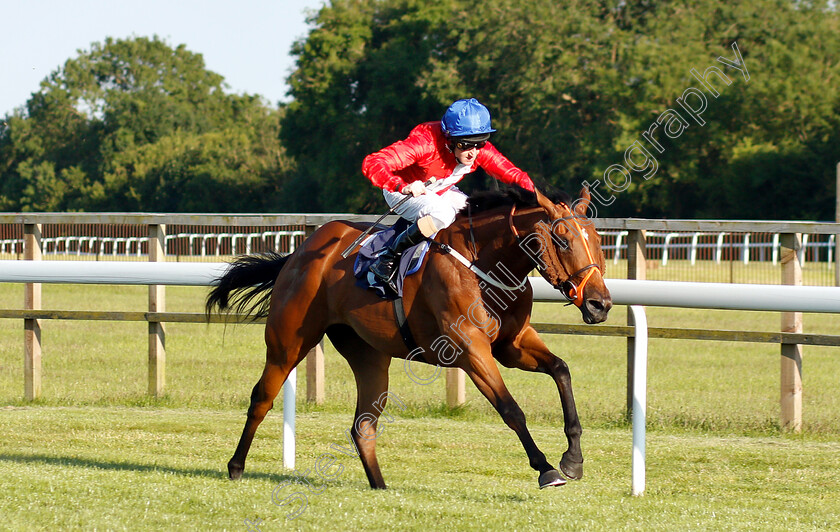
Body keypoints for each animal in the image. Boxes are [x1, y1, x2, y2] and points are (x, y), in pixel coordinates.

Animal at [203, 187, 612, 490]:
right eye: (562, 239)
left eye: (596, 239)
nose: (600, 304)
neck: (485, 266)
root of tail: (300, 252)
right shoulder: (469, 348)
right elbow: (510, 409)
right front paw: (546, 468)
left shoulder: (511, 345)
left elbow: (561, 370)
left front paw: (573, 458)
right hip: (289, 341)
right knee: (262, 398)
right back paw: (235, 466)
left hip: (368, 354)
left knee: (363, 424)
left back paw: (380, 486)